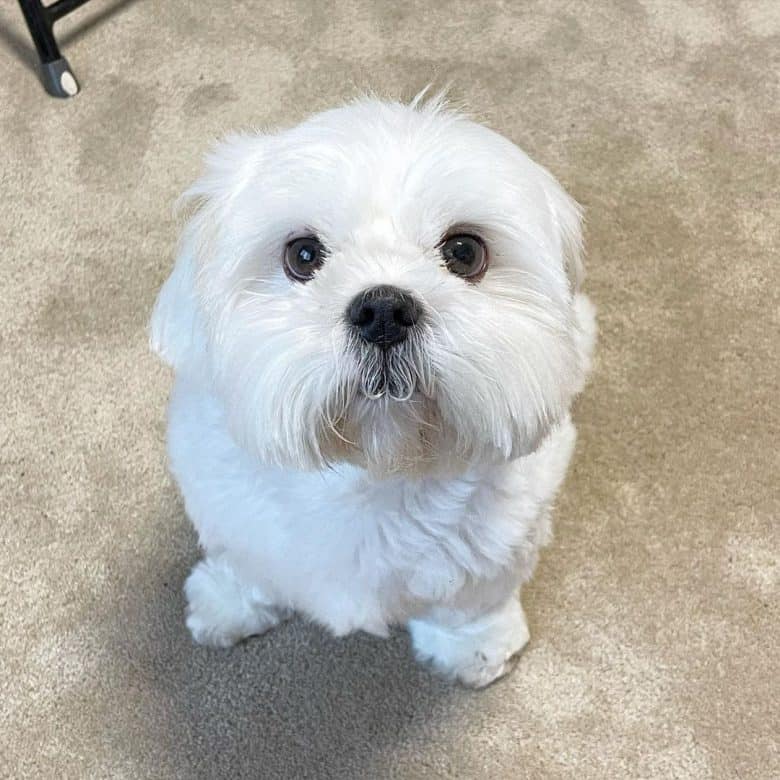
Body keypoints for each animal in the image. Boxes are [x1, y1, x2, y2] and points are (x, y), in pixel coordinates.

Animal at [151, 94, 596, 684]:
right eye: (303, 255)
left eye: (465, 252)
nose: (384, 310)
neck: (377, 470)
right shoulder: (232, 518)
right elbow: (247, 565)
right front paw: (229, 603)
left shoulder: (497, 546)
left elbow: (470, 604)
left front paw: (475, 648)